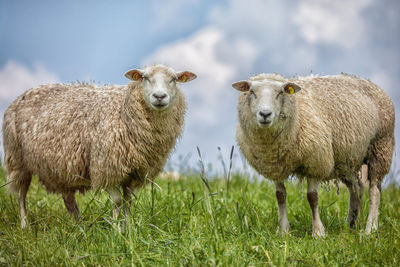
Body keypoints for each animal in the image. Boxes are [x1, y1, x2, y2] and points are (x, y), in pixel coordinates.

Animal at [2, 63, 197, 228]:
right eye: (144, 78)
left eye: (173, 79)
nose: (159, 96)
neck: (123, 111)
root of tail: (24, 94)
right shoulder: (105, 168)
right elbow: (117, 201)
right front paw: (116, 232)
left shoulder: (134, 173)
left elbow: (128, 201)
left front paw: (129, 231)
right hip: (18, 160)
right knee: (21, 195)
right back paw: (25, 226)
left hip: (60, 168)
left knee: (68, 199)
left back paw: (80, 228)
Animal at [233, 73, 396, 237]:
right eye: (252, 92)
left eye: (280, 93)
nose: (265, 114)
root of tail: (372, 84)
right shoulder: (276, 166)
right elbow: (280, 196)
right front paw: (283, 230)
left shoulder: (315, 162)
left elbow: (312, 198)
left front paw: (318, 232)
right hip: (346, 160)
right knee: (355, 189)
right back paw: (350, 223)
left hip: (380, 147)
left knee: (374, 190)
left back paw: (370, 228)